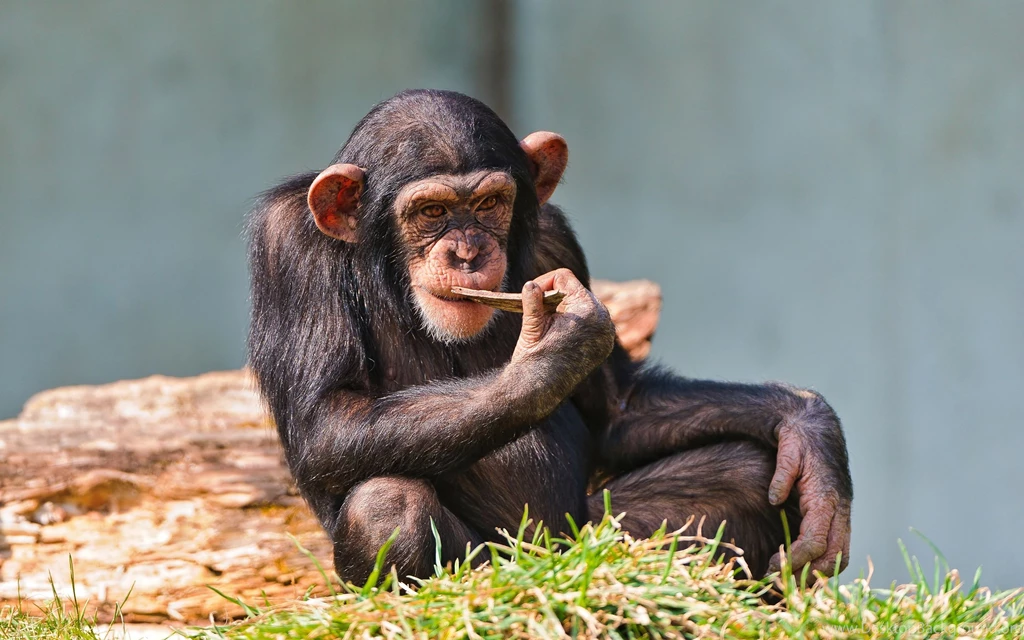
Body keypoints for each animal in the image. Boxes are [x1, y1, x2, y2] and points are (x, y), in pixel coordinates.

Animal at [246, 89, 852, 582]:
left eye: (489, 204)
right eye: (432, 211)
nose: (467, 252)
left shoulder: (557, 241)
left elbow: (617, 407)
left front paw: (808, 428)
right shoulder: (288, 247)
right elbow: (328, 418)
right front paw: (554, 352)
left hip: (589, 534)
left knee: (748, 473)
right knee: (385, 505)